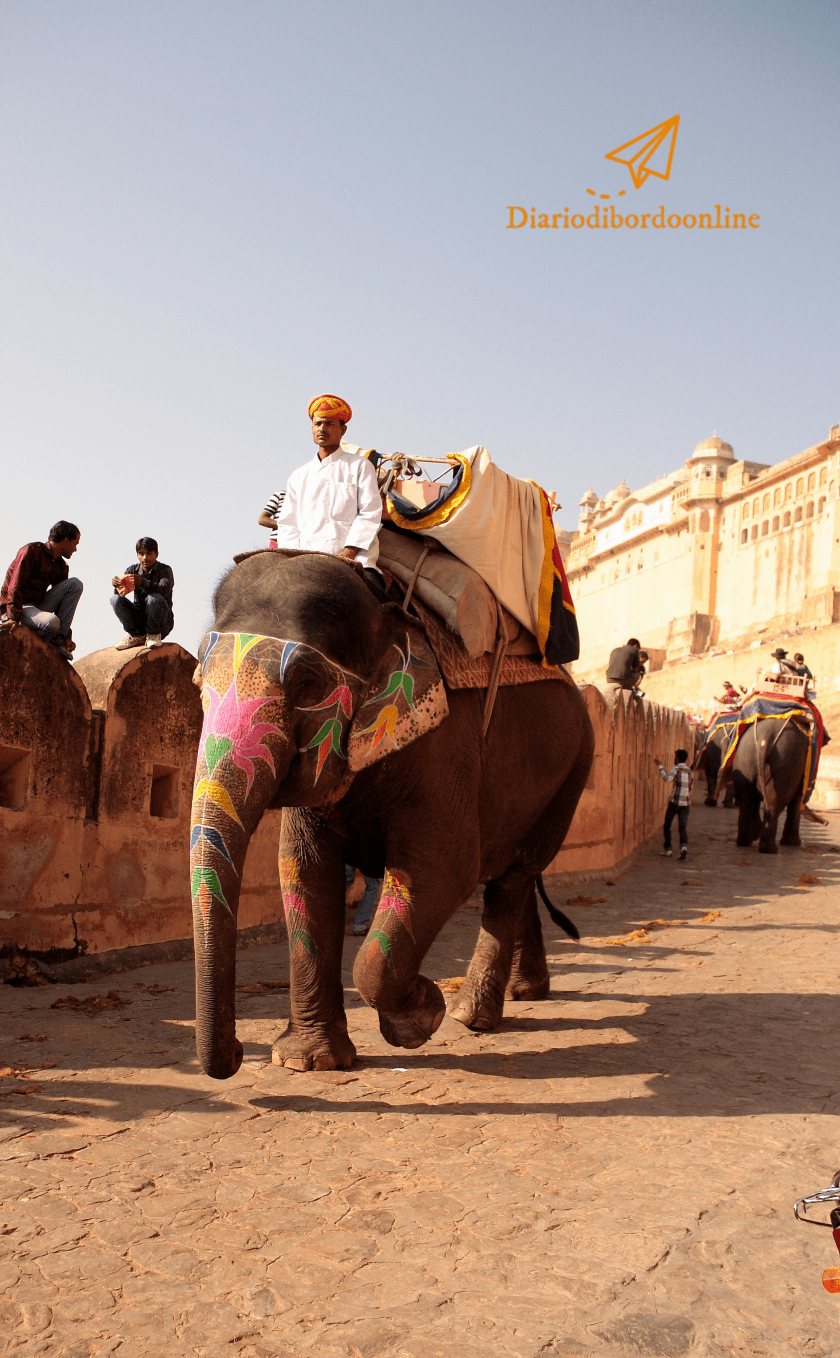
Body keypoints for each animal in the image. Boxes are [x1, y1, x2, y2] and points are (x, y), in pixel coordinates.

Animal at [189, 549, 594, 1079]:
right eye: (198, 682)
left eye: (307, 683)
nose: (237, 1052)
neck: (379, 602)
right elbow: (303, 871)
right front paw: (308, 1062)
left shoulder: (444, 743)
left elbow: (445, 868)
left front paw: (421, 1017)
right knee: (515, 877)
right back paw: (523, 994)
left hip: (572, 773)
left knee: (511, 880)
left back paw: (470, 1015)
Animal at [731, 715, 809, 852]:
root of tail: (765, 738)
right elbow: (797, 799)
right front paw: (793, 844)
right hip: (785, 762)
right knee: (774, 802)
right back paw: (770, 849)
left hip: (744, 758)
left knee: (746, 799)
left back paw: (744, 842)